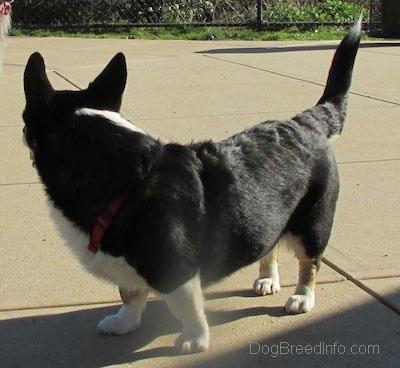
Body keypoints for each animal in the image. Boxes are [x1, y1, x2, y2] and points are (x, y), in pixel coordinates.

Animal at [22, 20, 362, 354]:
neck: (123, 178)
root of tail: (307, 122)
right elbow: (129, 294)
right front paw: (124, 322)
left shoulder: (178, 273)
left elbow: (185, 308)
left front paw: (194, 339)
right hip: (270, 216)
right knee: (271, 245)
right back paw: (267, 280)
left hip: (312, 226)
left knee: (310, 263)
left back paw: (302, 297)